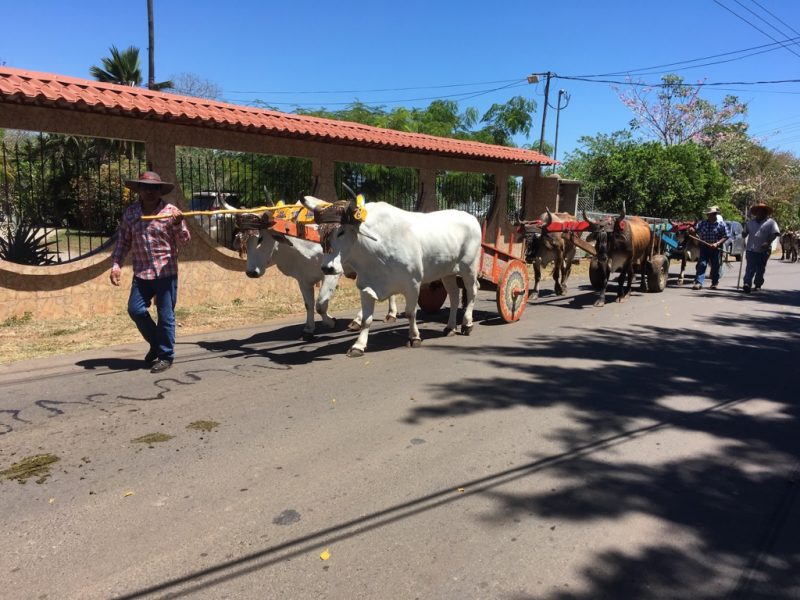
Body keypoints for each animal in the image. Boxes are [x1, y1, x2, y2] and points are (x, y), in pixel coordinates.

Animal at [235, 210, 397, 341]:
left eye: (260, 239)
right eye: (243, 242)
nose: (250, 272)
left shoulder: (332, 274)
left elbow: (320, 304)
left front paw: (331, 322)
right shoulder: (303, 279)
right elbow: (309, 305)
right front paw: (308, 330)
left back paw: (383, 316)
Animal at [299, 196, 482, 357]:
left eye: (341, 231)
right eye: (320, 231)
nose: (327, 268)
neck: (374, 248)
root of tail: (470, 217)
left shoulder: (413, 284)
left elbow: (410, 313)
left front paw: (414, 337)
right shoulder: (366, 287)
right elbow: (366, 319)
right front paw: (358, 346)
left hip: (469, 268)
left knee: (472, 292)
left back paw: (467, 324)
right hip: (448, 273)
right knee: (454, 296)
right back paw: (450, 327)